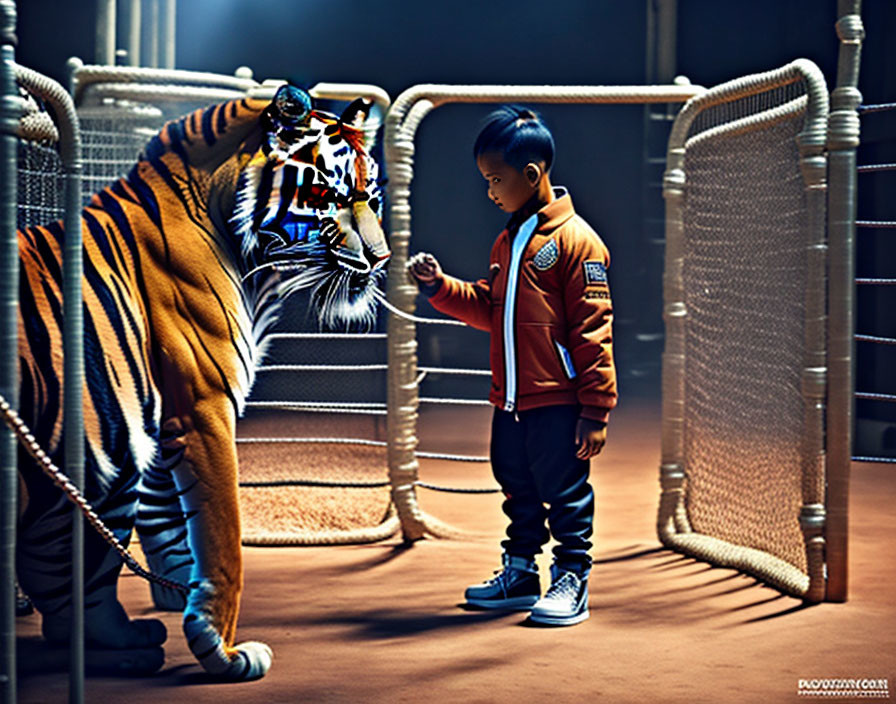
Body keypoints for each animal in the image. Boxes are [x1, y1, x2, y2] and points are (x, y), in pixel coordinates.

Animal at [15, 84, 388, 680]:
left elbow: (165, 518)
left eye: (372, 197)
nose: (380, 259)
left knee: (67, 594)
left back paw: (128, 643)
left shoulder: (156, 416)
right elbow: (222, 535)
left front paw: (183, 600)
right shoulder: (204, 409)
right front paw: (222, 651)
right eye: (326, 195)